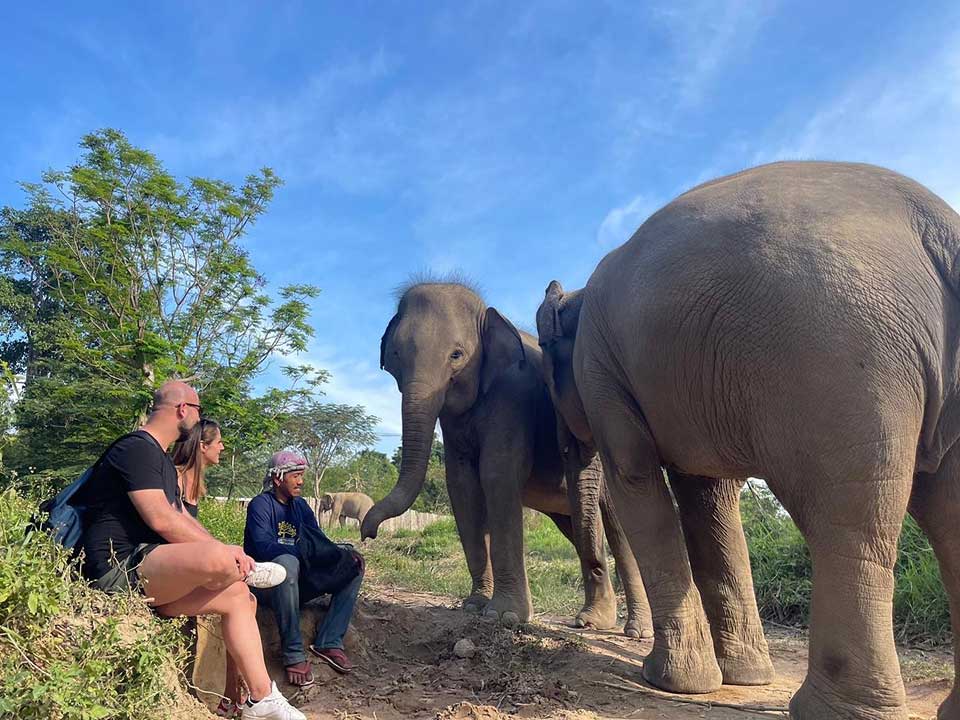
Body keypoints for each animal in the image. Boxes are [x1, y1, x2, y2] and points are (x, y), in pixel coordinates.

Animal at [361, 282, 652, 635]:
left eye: (456, 355)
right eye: (395, 356)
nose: (367, 534)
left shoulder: (514, 394)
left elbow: (497, 472)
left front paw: (505, 616)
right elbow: (461, 484)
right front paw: (474, 606)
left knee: (620, 531)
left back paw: (636, 628)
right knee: (578, 528)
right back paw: (594, 619)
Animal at [536, 284, 774, 687]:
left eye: (551, 386)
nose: (583, 623)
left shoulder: (603, 374)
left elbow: (632, 473)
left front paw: (673, 680)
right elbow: (708, 494)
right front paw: (746, 677)